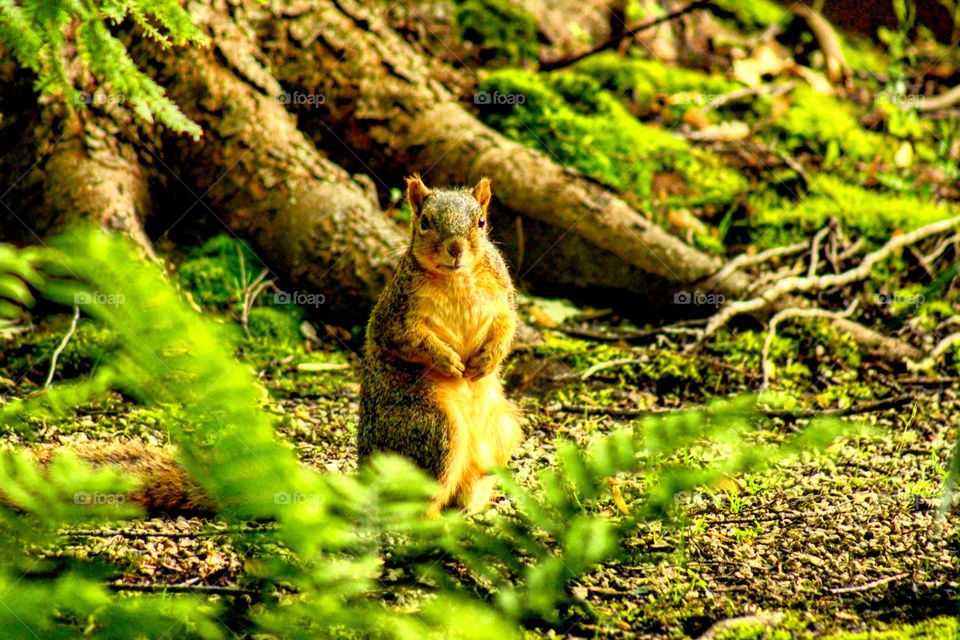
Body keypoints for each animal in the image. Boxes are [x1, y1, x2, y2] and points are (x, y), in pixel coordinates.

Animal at [360, 175, 524, 516]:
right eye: (425, 222)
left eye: (481, 221)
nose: (456, 248)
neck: (458, 278)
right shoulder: (396, 316)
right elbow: (409, 341)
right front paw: (447, 360)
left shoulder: (502, 297)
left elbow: (507, 326)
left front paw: (487, 360)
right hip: (434, 429)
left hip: (502, 430)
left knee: (465, 487)